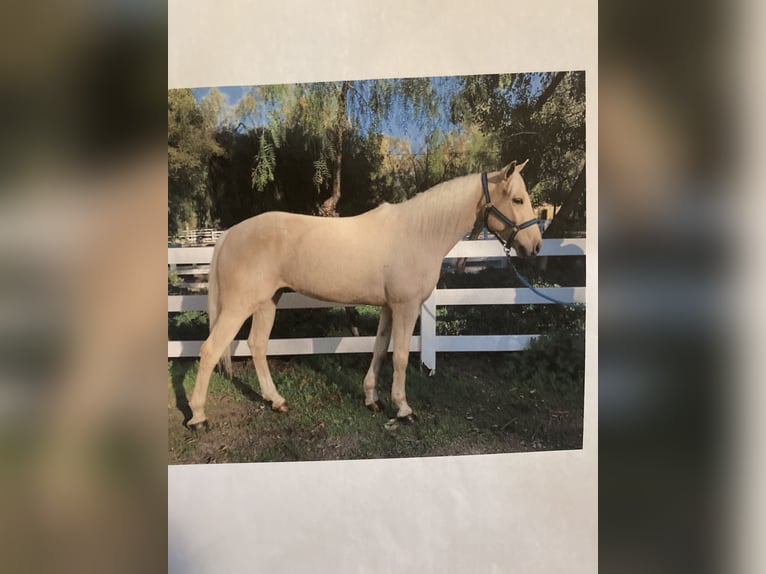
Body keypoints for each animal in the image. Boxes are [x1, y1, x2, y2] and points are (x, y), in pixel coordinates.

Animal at [186, 160, 542, 428]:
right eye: (518, 200)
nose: (535, 246)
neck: (418, 233)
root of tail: (230, 233)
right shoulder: (406, 306)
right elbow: (400, 356)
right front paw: (404, 409)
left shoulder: (388, 307)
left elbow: (380, 350)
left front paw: (372, 399)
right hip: (239, 305)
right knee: (210, 350)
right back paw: (199, 417)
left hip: (267, 302)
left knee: (257, 346)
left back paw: (277, 401)